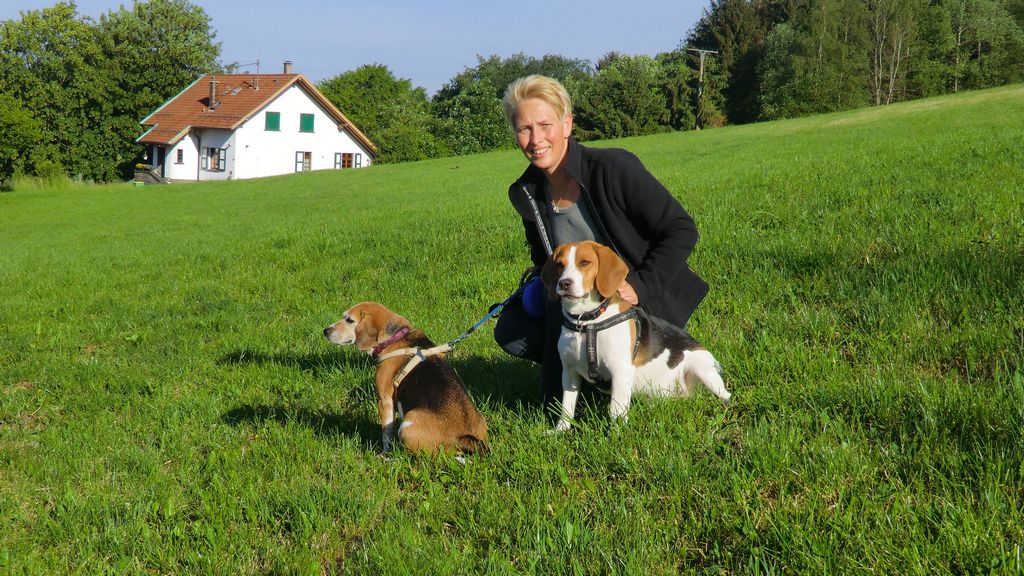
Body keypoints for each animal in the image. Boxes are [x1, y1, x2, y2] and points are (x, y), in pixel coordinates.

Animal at [323, 301, 488, 454]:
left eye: (349, 320)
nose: (325, 331)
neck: (394, 338)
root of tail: (465, 437)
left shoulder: (385, 401)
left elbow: (386, 433)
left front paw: (385, 454)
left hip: (406, 427)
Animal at [541, 241, 731, 431]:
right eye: (559, 264)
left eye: (584, 262)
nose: (564, 283)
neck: (586, 322)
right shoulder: (569, 371)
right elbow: (566, 406)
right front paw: (560, 431)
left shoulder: (620, 370)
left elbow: (616, 410)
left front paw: (616, 434)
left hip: (701, 369)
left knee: (726, 396)